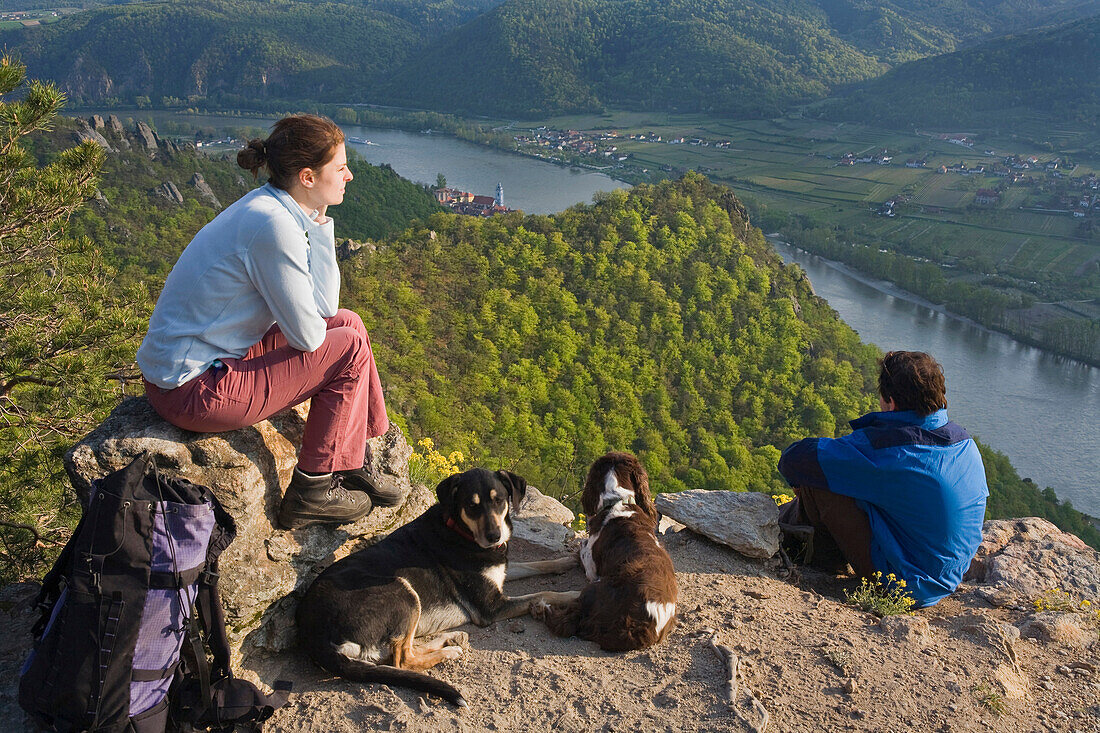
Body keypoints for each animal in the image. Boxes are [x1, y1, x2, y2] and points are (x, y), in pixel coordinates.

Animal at [297, 468, 580, 704]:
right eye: (471, 506)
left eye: (499, 500)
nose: (494, 537)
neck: (461, 530)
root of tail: (312, 633)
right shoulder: (491, 607)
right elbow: (544, 592)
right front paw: (576, 594)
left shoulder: (500, 576)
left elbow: (536, 564)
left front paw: (568, 561)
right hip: (403, 591)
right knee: (403, 660)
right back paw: (450, 651)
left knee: (400, 652)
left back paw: (449, 638)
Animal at [532, 451, 677, 651]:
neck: (618, 501)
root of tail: (638, 629)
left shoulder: (591, 568)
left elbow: (583, 549)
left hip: (593, 588)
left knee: (567, 621)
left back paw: (539, 607)